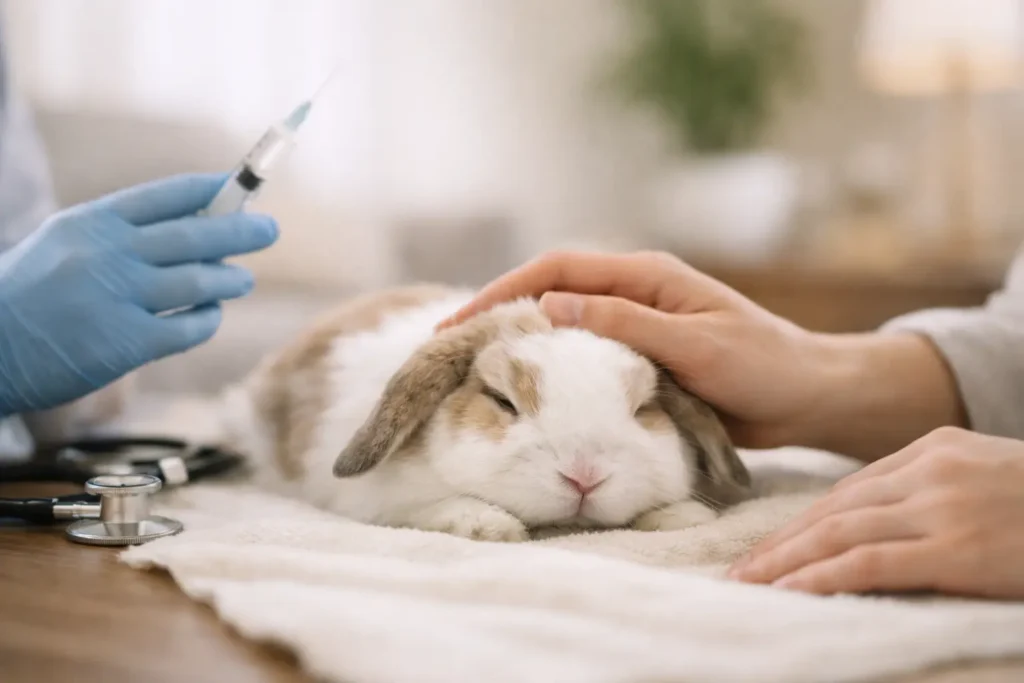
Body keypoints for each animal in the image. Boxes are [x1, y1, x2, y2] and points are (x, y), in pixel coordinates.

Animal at [219, 284, 752, 541]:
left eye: (643, 409)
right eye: (502, 400)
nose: (584, 477)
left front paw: (680, 516)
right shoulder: (376, 501)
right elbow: (427, 507)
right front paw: (488, 525)